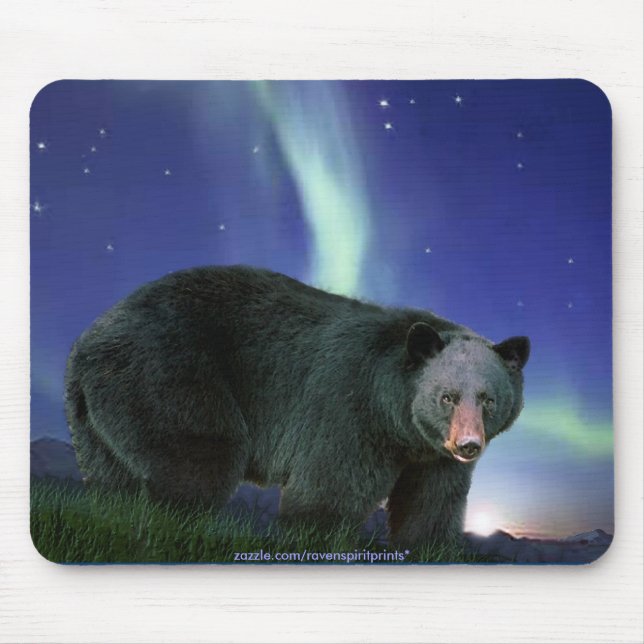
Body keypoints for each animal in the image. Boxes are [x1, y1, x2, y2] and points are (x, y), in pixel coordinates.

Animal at [64, 265, 530, 549]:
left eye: (488, 399)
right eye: (447, 396)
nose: (468, 445)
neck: (397, 419)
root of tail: (88, 339)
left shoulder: (431, 456)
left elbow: (431, 503)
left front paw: (427, 545)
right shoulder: (349, 406)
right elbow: (330, 487)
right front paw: (313, 536)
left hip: (96, 415)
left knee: (113, 480)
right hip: (167, 374)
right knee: (199, 459)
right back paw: (174, 529)